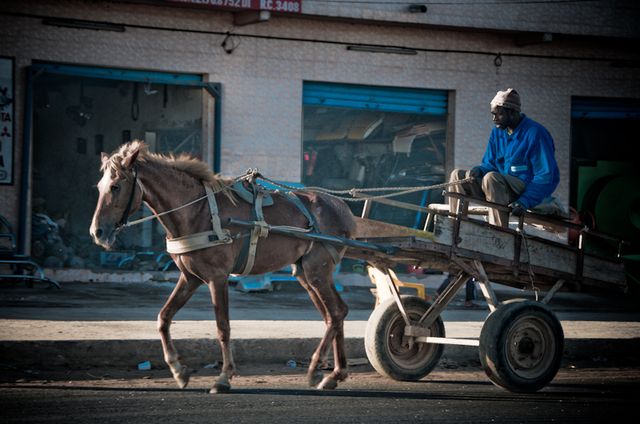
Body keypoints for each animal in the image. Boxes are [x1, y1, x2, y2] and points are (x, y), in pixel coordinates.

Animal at [89, 141, 358, 392]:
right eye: (99, 187)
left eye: (115, 186)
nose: (97, 232)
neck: (196, 211)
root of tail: (343, 208)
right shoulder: (190, 277)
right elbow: (163, 317)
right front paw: (178, 370)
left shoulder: (217, 277)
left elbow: (223, 327)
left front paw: (223, 377)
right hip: (305, 273)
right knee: (334, 314)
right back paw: (335, 374)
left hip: (317, 270)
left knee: (336, 313)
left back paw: (316, 369)